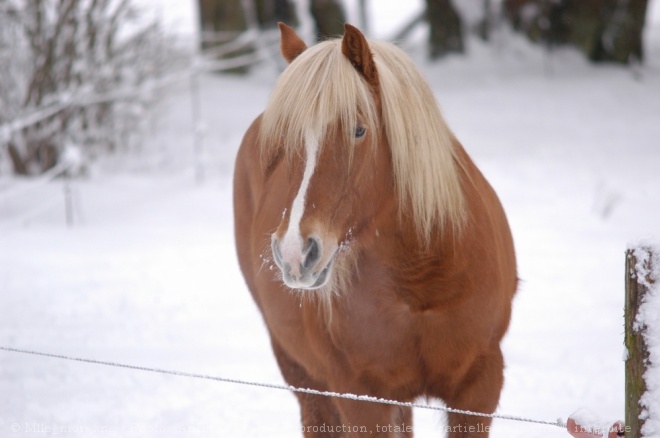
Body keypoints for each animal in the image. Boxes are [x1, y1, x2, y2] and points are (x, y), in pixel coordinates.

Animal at [235, 24, 520, 438]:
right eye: (284, 140)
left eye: (359, 130)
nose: (294, 253)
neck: (422, 283)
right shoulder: (361, 398)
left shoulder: (479, 388)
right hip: (304, 377)